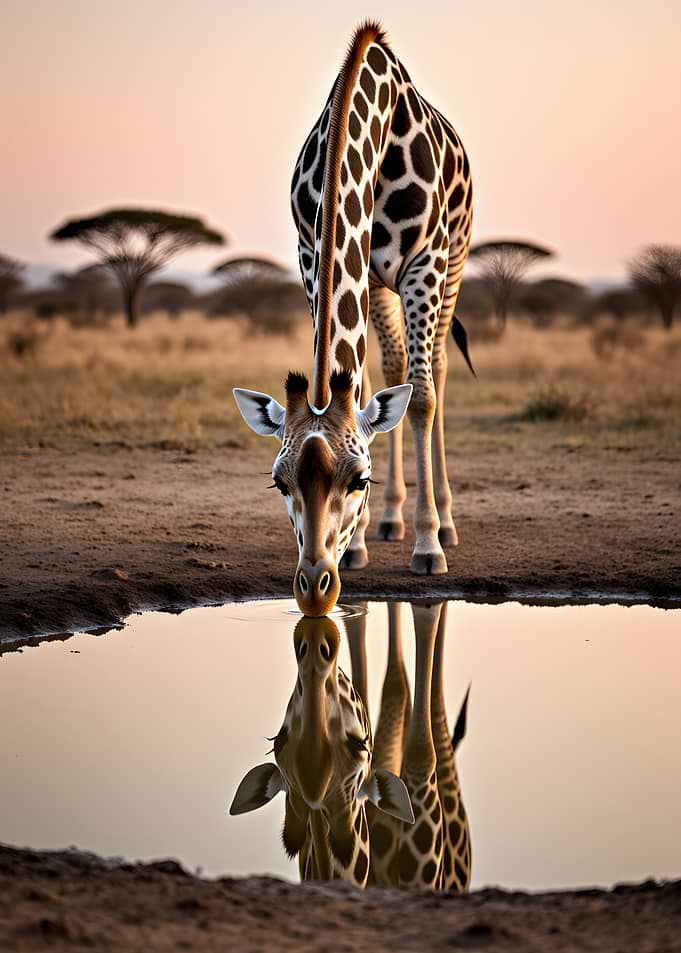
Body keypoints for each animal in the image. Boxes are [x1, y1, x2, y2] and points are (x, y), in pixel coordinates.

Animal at [234, 21, 474, 616]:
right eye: (279, 483)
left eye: (360, 479)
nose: (315, 588)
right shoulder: (318, 255)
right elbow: (364, 385)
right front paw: (362, 540)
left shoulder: (425, 262)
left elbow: (422, 398)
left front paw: (428, 547)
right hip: (382, 289)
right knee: (393, 368)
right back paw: (389, 523)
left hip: (454, 265)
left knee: (436, 371)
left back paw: (444, 522)